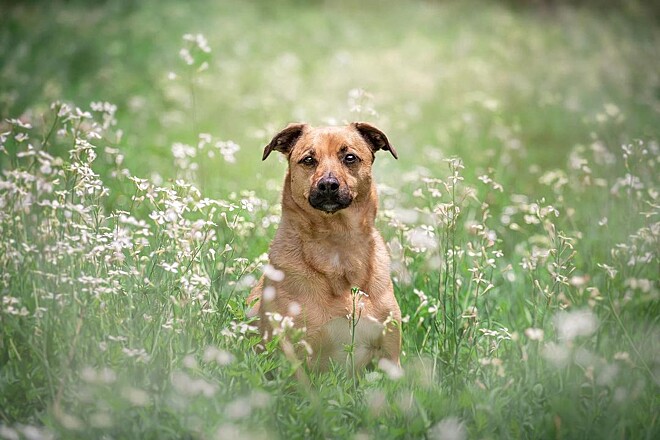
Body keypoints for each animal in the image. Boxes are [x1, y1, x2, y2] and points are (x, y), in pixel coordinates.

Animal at [248, 121, 402, 372]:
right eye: (308, 159)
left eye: (350, 157)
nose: (328, 185)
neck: (338, 244)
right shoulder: (298, 357)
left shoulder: (390, 355)